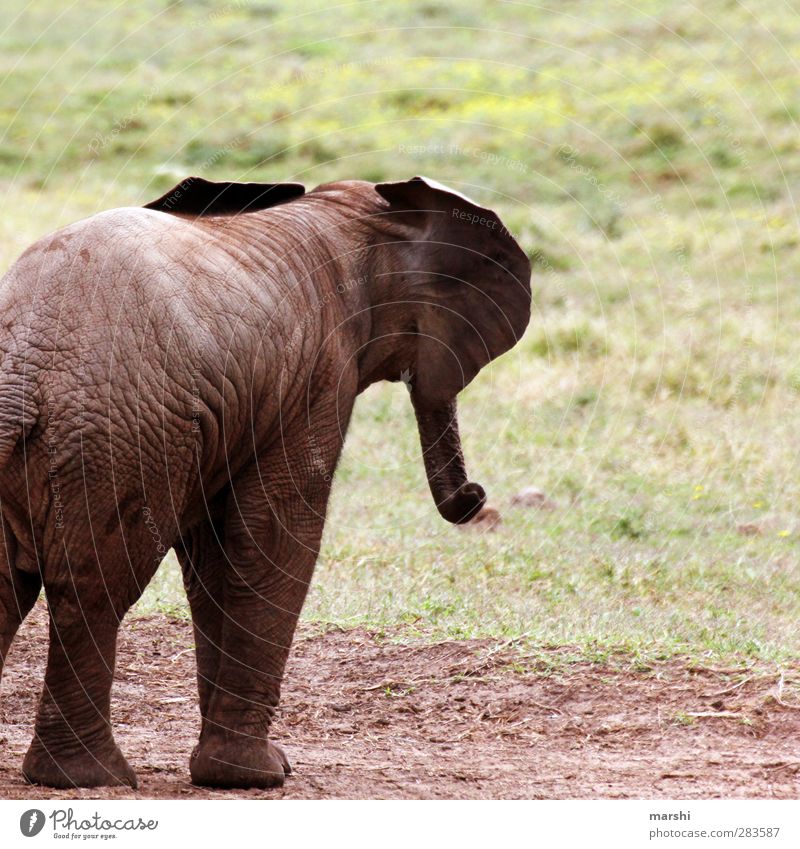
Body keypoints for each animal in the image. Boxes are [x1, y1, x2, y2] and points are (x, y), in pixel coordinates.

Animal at [0, 174, 532, 788]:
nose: (476, 498)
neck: (354, 214)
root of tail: (22, 368)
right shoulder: (318, 375)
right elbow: (273, 534)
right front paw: (255, 775)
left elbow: (215, 553)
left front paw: (228, 772)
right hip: (116, 433)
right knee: (95, 588)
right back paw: (90, 777)